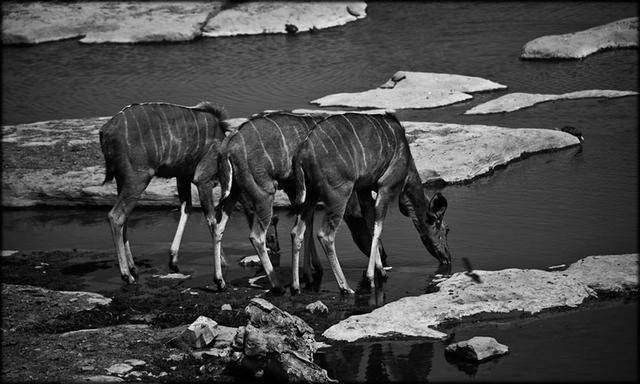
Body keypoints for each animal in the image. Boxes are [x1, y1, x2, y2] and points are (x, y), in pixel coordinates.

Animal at [99, 100, 229, 284]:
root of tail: (105, 130)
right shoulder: (202, 179)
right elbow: (212, 220)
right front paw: (222, 267)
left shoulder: (182, 177)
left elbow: (186, 209)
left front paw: (173, 259)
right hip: (137, 179)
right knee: (115, 216)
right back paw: (127, 275)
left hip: (122, 180)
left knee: (124, 217)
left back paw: (133, 268)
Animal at [292, 112, 452, 294]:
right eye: (445, 229)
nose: (447, 257)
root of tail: (302, 154)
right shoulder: (385, 187)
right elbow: (378, 227)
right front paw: (371, 277)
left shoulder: (364, 191)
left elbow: (370, 224)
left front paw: (380, 270)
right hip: (339, 194)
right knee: (325, 235)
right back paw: (346, 287)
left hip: (311, 195)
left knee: (297, 231)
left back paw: (296, 286)